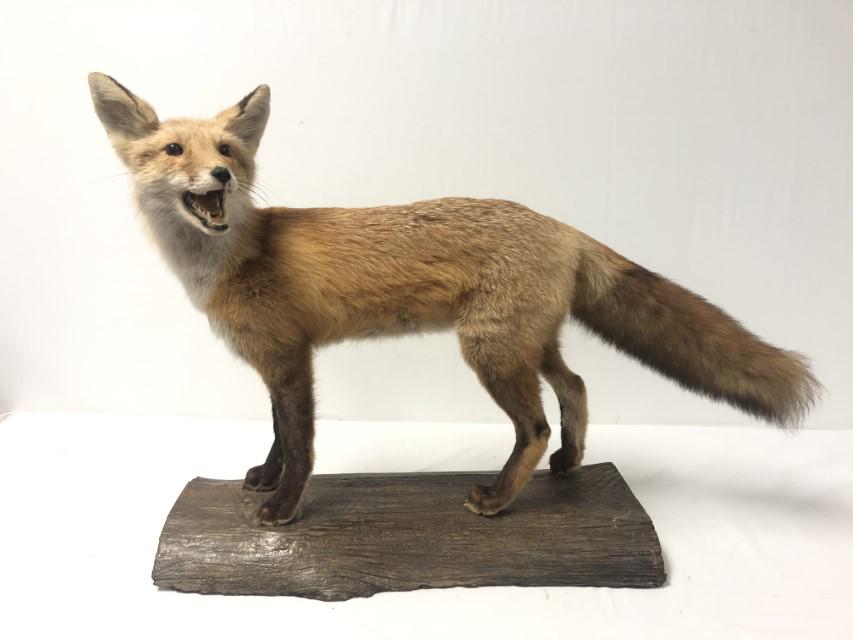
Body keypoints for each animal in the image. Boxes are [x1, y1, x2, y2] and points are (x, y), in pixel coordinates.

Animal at [88, 72, 820, 526]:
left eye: (228, 149)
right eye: (173, 149)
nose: (220, 176)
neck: (237, 256)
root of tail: (559, 224)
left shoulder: (291, 358)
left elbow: (300, 443)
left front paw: (283, 508)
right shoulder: (273, 360)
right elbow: (275, 434)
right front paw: (265, 481)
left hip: (489, 351)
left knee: (535, 425)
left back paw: (498, 498)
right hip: (527, 342)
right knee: (577, 387)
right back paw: (570, 466)